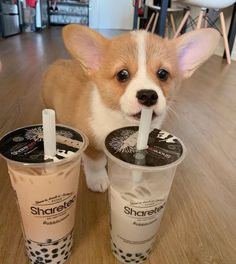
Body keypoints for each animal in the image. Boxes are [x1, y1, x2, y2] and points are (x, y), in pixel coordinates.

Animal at [42, 25, 219, 192]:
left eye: (163, 74)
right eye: (122, 74)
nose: (148, 95)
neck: (121, 121)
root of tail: (57, 62)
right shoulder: (91, 142)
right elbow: (96, 163)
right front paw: (98, 180)